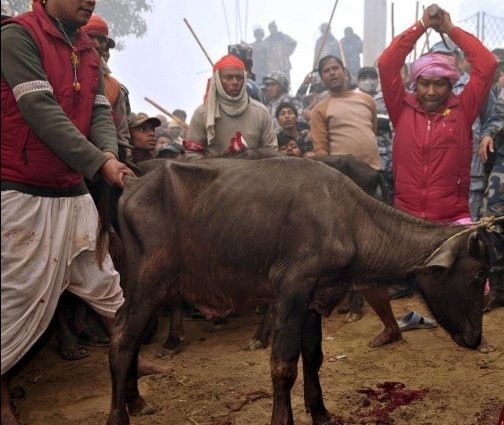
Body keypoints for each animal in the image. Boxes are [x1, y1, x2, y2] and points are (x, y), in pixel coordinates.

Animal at [107, 157, 496, 424]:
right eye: (479, 274)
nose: (475, 338)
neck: (349, 220)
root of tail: (134, 184)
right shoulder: (292, 291)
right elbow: (283, 365)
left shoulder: (315, 299)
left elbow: (313, 358)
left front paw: (320, 412)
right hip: (149, 281)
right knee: (123, 336)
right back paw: (118, 414)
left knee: (128, 335)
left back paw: (136, 401)